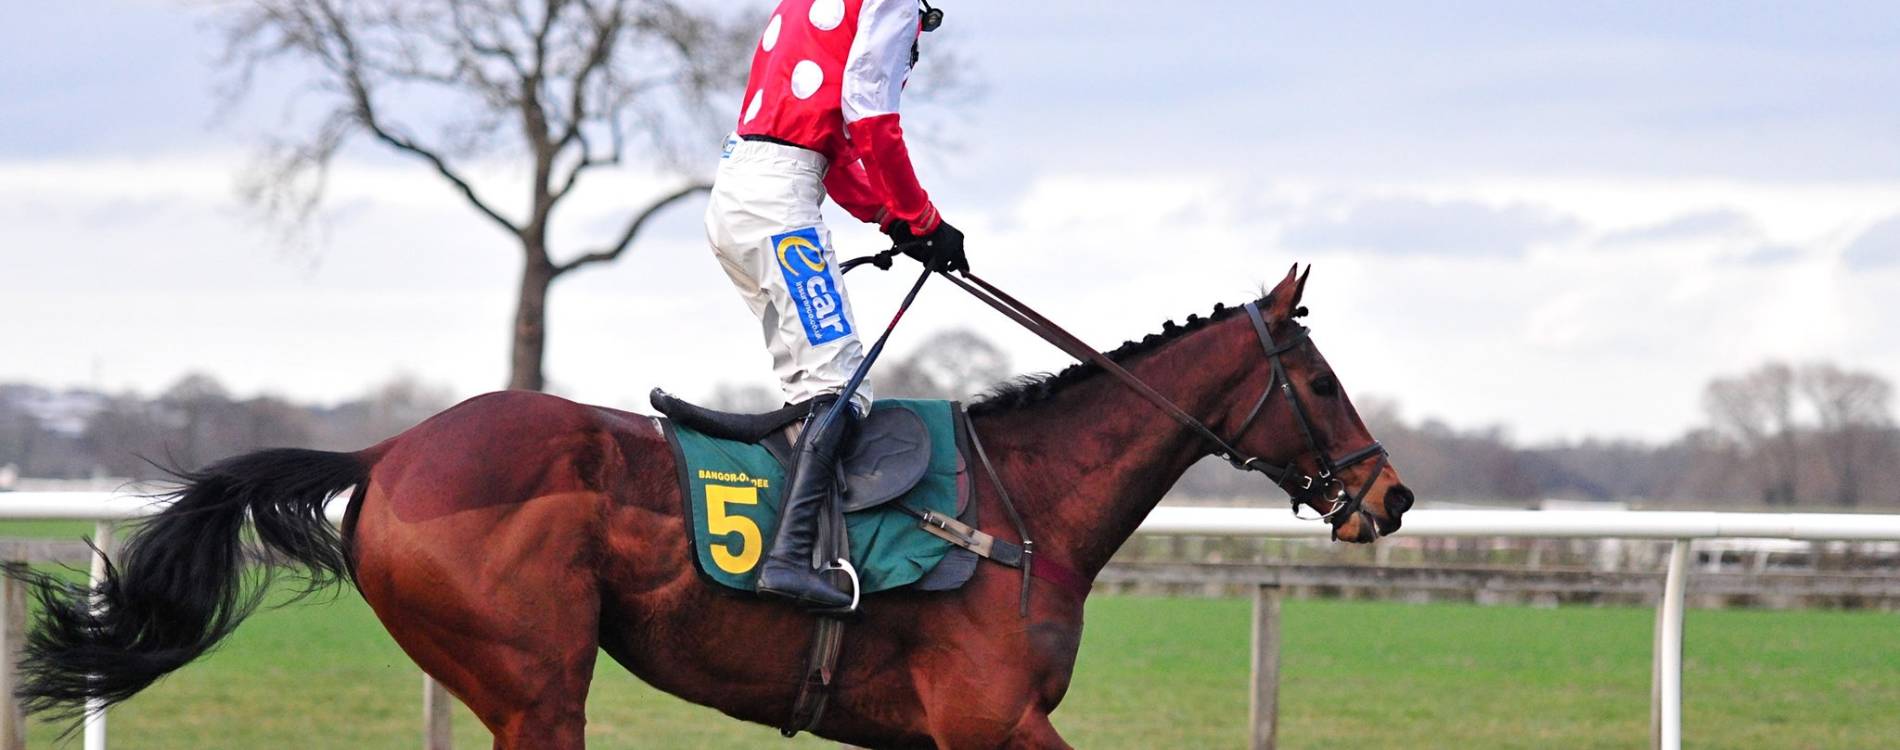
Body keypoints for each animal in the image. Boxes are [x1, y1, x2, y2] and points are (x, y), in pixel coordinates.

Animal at [12, 265, 1412, 748]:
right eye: (1320, 379)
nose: (1389, 496)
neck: (1025, 505)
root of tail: (398, 446)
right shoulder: (991, 722)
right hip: (537, 683)